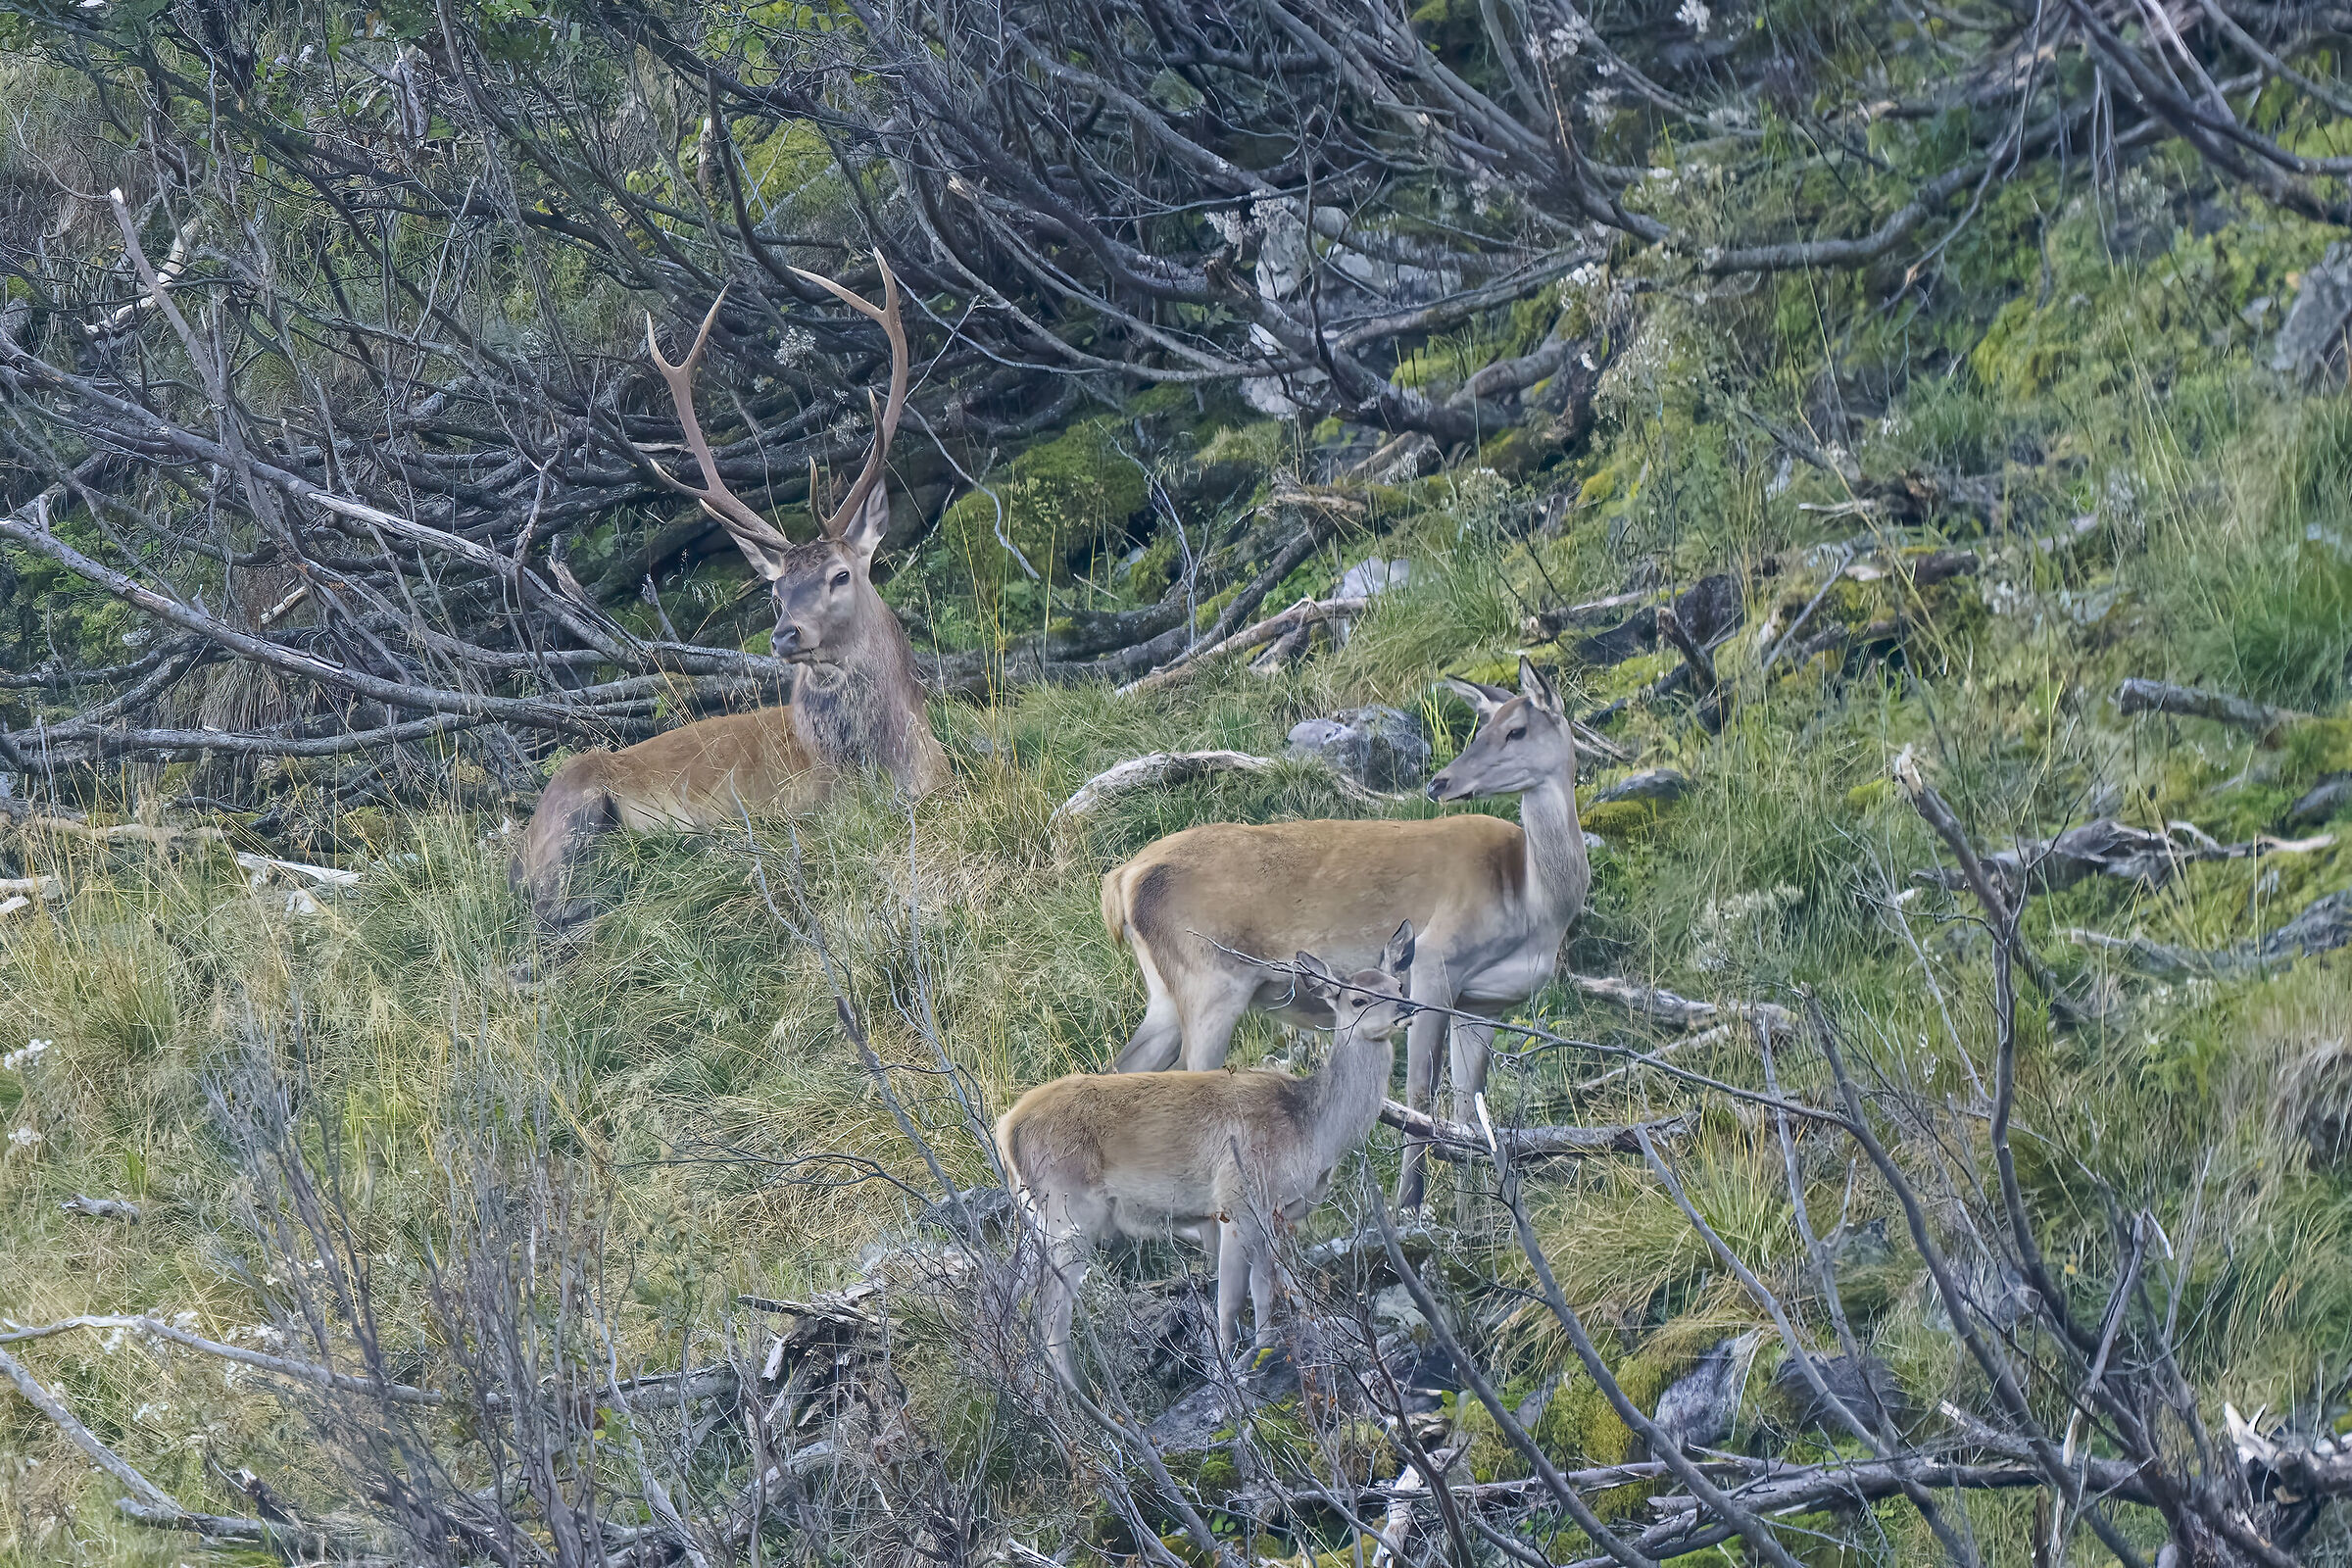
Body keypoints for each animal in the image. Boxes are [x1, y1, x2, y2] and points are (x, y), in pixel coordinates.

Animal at [511, 259, 951, 933]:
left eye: (840, 575)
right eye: (777, 590)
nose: (786, 634)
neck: (896, 765)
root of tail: (523, 840)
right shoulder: (800, 806)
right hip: (574, 803)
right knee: (547, 907)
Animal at [996, 922, 1416, 1389]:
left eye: (1398, 984)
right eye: (1358, 999)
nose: (1407, 1008)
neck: (1311, 1128)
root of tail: (1007, 1128)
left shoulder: (1276, 1214)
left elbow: (1271, 1290)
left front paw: (1275, 1346)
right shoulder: (1235, 1200)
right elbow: (1232, 1301)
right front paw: (1232, 1369)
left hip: (1037, 1222)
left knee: (1010, 1299)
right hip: (1069, 1215)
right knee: (1050, 1321)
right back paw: (1086, 1400)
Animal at [1100, 655, 1587, 1212]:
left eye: (1515, 729)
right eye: (1481, 728)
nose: (1440, 782)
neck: (1532, 901)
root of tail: (1122, 880)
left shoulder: (1488, 1003)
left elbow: (1471, 1106)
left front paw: (1481, 1205)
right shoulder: (1436, 961)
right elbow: (1421, 1093)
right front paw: (1410, 1205)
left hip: (1164, 992)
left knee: (1122, 1069)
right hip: (1210, 981)